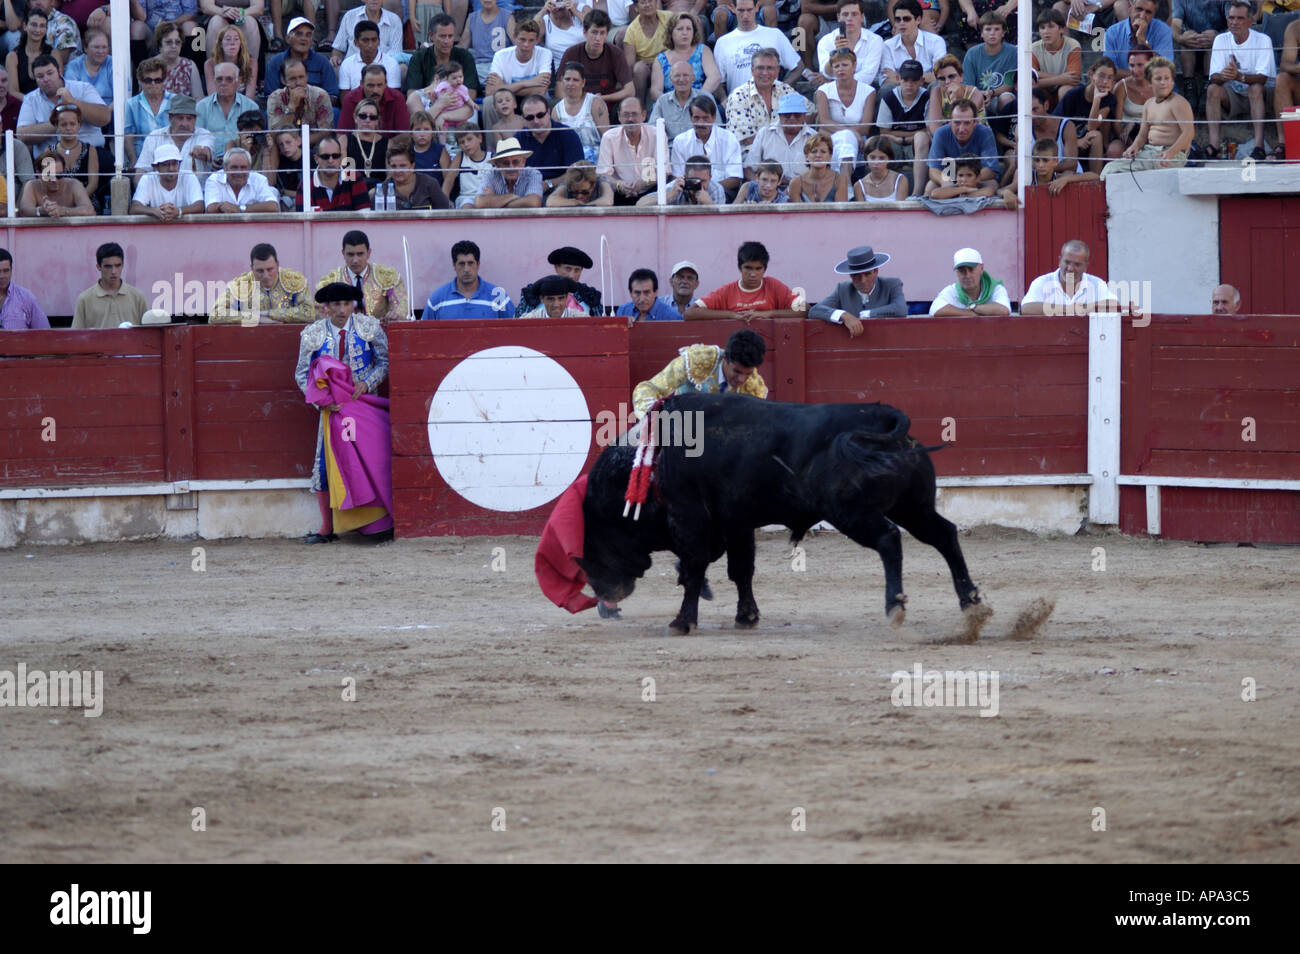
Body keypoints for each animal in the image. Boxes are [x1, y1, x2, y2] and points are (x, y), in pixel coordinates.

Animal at [574, 395, 977, 634]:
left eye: (591, 546)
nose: (603, 594)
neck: (652, 461)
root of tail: (880, 415)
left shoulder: (691, 519)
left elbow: (694, 569)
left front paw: (682, 621)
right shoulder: (736, 523)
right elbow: (741, 570)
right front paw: (746, 616)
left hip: (852, 513)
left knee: (889, 539)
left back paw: (895, 605)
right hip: (914, 506)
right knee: (944, 534)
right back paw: (971, 602)